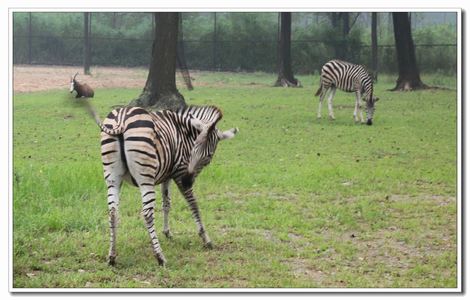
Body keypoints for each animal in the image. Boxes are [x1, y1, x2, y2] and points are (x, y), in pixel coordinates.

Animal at [89, 103, 239, 268]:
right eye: (194, 150)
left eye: (208, 157)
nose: (187, 181)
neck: (184, 131)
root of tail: (121, 119)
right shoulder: (179, 173)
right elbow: (193, 204)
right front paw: (206, 238)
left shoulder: (166, 176)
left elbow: (166, 203)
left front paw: (167, 232)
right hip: (146, 178)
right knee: (147, 214)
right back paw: (160, 257)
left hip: (112, 178)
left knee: (113, 212)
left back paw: (112, 257)